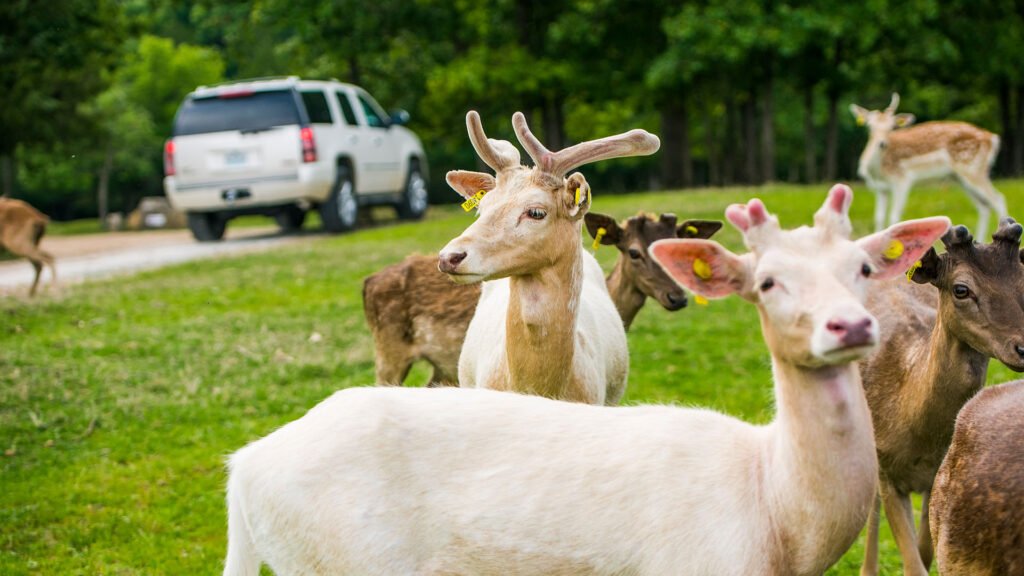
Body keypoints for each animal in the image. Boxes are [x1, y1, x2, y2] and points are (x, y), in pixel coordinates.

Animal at [850, 92, 1007, 240]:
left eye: (892, 127)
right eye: (870, 126)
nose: (882, 144)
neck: (878, 171)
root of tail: (993, 139)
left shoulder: (902, 179)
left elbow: (895, 215)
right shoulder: (880, 188)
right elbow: (879, 217)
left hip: (973, 168)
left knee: (998, 199)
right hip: (960, 177)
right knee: (984, 206)